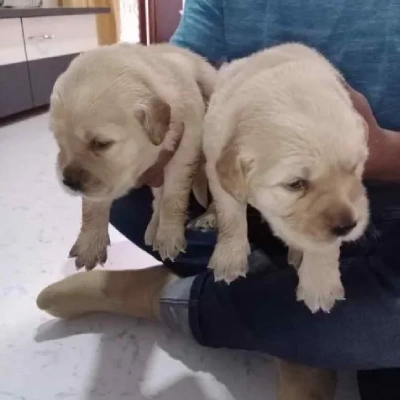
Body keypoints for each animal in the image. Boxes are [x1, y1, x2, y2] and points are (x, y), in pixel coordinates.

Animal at [51, 43, 217, 268]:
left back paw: (208, 217)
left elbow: (173, 197)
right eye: (59, 142)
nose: (69, 182)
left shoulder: (185, 150)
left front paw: (169, 235)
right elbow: (92, 206)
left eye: (101, 143)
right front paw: (90, 244)